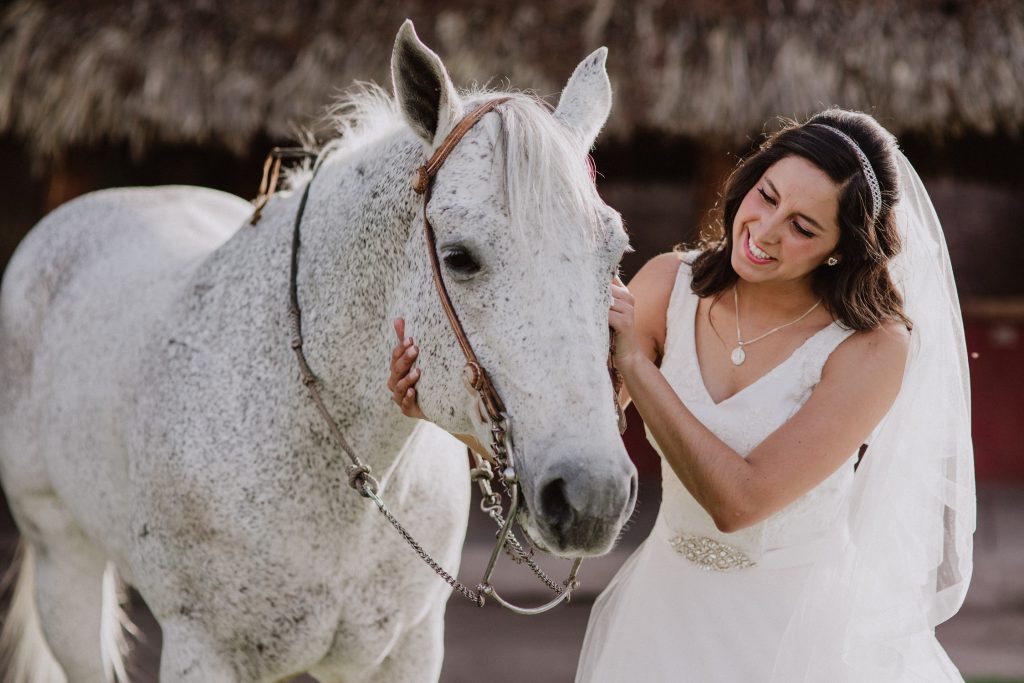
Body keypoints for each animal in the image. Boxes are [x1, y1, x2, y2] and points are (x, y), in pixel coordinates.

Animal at [0, 18, 630, 683]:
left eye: (616, 255)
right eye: (459, 257)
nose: (592, 494)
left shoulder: (404, 650)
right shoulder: (202, 650)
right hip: (62, 563)